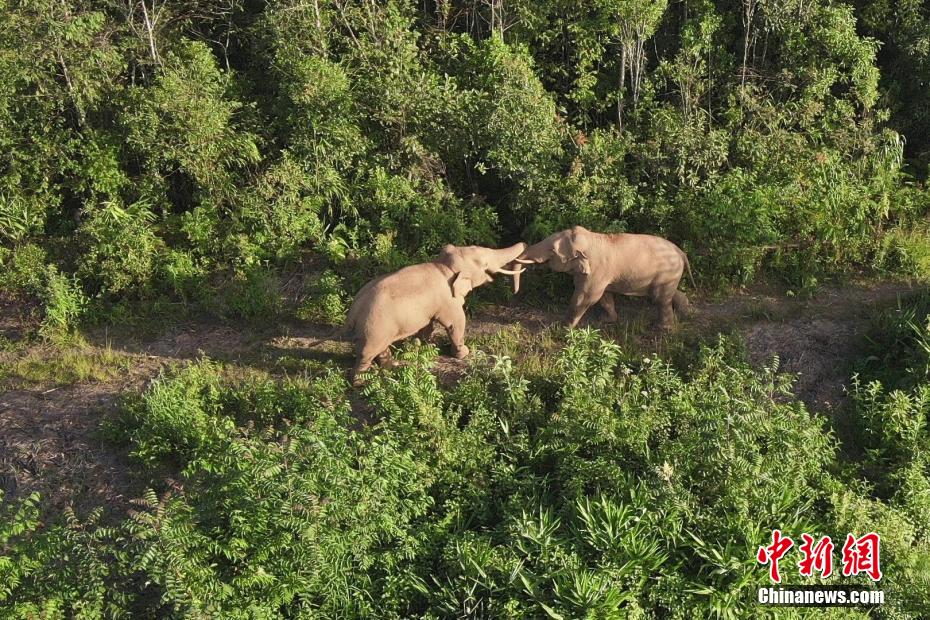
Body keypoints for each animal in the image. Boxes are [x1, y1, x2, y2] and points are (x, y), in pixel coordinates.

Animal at [344, 241, 524, 382]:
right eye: (484, 264)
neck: (443, 265)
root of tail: (353, 312)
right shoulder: (448, 300)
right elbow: (456, 322)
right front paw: (464, 353)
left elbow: (428, 325)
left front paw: (424, 345)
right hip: (374, 329)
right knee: (365, 355)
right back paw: (361, 383)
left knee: (380, 349)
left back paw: (392, 366)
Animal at [512, 224, 692, 330]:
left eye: (552, 250)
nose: (516, 292)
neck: (591, 238)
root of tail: (681, 252)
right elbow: (604, 296)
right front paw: (606, 320)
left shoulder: (596, 271)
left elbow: (585, 297)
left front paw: (563, 327)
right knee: (670, 294)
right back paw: (686, 313)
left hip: (667, 273)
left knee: (660, 298)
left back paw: (662, 328)